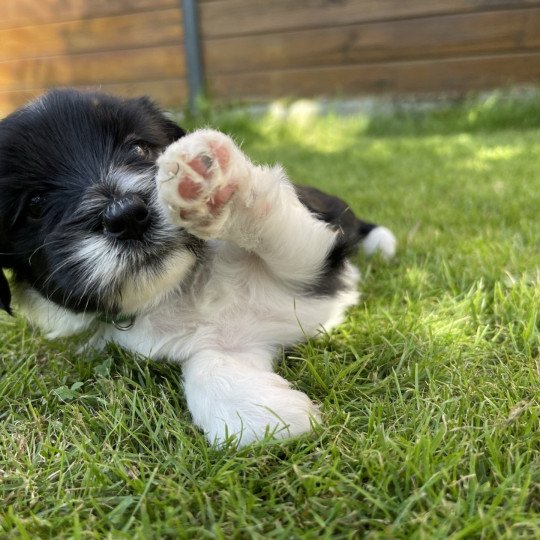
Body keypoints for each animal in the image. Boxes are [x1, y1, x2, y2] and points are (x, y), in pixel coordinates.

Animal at [0, 89, 396, 448]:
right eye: (35, 205)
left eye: (139, 149)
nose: (125, 215)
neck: (181, 289)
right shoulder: (231, 344)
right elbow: (207, 369)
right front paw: (266, 413)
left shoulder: (314, 256)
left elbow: (278, 232)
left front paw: (213, 189)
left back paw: (383, 243)